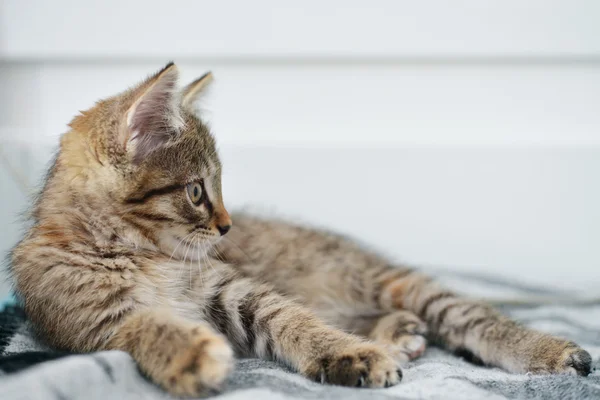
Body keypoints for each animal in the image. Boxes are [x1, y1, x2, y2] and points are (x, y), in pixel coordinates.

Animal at [9, 63, 592, 396]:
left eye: (217, 188)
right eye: (197, 191)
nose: (227, 227)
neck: (137, 250)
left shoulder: (232, 290)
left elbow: (293, 320)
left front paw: (348, 353)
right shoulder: (87, 326)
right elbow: (142, 329)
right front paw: (187, 352)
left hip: (390, 280)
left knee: (475, 318)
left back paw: (544, 352)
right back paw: (399, 335)